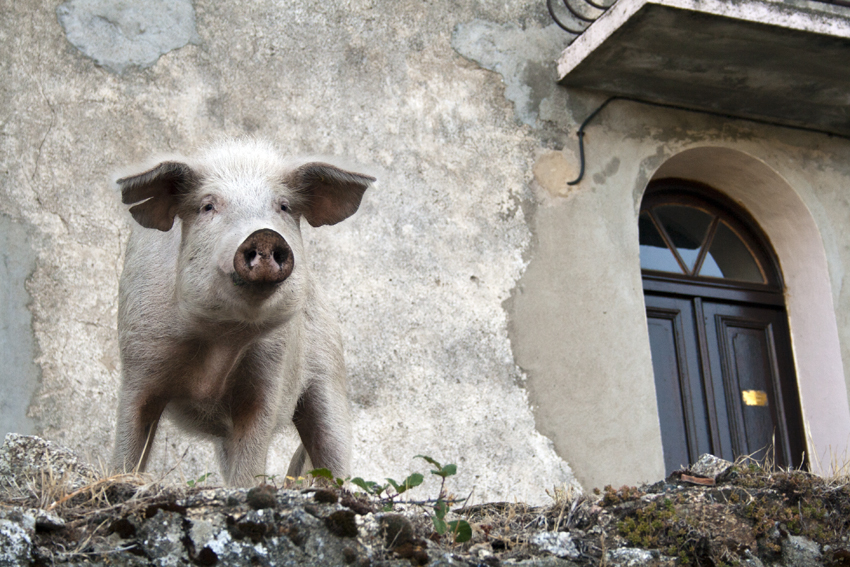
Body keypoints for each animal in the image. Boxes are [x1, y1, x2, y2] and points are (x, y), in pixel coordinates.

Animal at [110, 140, 374, 486]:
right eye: (208, 206)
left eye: (284, 207)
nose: (264, 234)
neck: (222, 341)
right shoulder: (139, 359)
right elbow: (131, 435)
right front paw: (119, 479)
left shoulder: (270, 371)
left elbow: (253, 451)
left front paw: (247, 487)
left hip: (330, 370)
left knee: (332, 444)